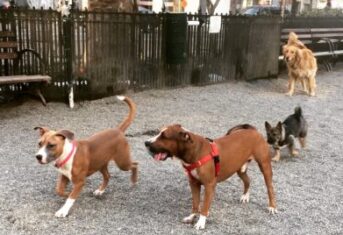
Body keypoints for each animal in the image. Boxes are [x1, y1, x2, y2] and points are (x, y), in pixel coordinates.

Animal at [144, 124, 276, 230]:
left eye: (164, 136)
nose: (146, 142)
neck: (194, 151)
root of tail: (253, 130)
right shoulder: (194, 184)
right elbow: (195, 203)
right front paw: (192, 217)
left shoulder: (209, 186)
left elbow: (204, 206)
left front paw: (201, 222)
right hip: (239, 169)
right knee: (247, 180)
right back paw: (245, 196)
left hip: (265, 166)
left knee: (270, 187)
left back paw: (272, 207)